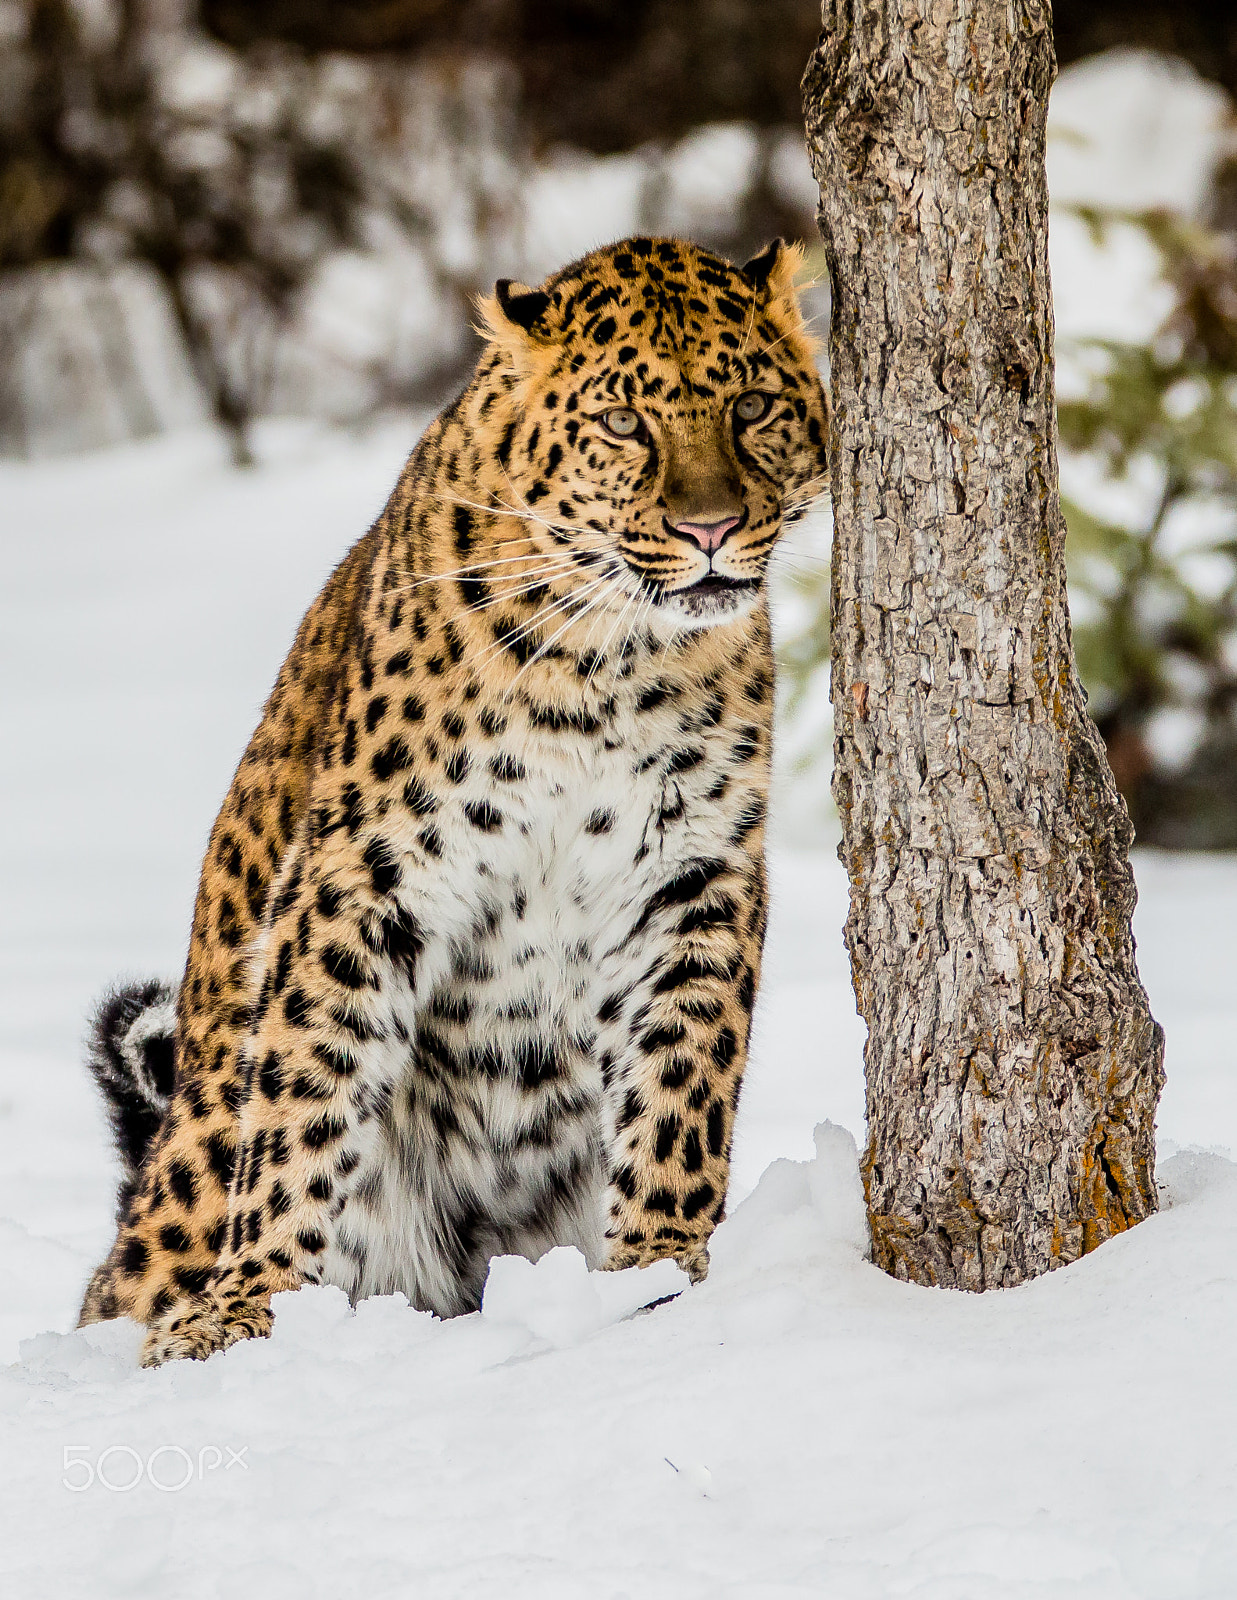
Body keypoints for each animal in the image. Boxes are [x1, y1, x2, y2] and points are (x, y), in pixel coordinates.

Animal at [77, 235, 829, 1366]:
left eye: (750, 406)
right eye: (624, 423)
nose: (711, 527)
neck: (608, 666)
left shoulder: (693, 875)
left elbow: (682, 1076)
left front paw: (658, 1269)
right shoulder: (363, 873)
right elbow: (302, 1096)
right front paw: (244, 1307)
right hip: (180, 1179)